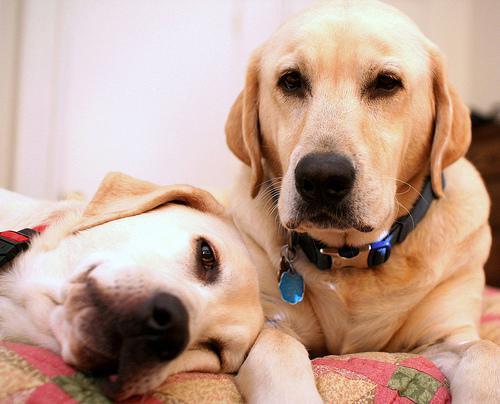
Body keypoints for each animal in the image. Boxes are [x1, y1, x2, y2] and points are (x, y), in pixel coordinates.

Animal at [226, 0, 500, 402]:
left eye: (386, 82)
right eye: (291, 81)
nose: (322, 178)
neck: (349, 258)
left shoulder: (446, 336)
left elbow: (486, 351)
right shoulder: (271, 323)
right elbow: (277, 348)